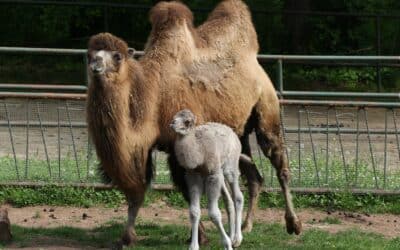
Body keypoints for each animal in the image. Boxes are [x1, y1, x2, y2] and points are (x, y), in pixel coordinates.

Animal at [169, 110, 244, 250]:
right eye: (174, 117)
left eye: (187, 121)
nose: (172, 124)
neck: (200, 153)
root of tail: (233, 133)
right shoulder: (193, 176)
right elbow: (194, 212)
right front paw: (193, 246)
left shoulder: (212, 176)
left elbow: (214, 213)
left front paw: (226, 244)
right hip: (220, 173)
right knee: (228, 200)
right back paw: (232, 237)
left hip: (230, 166)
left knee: (238, 195)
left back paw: (237, 239)